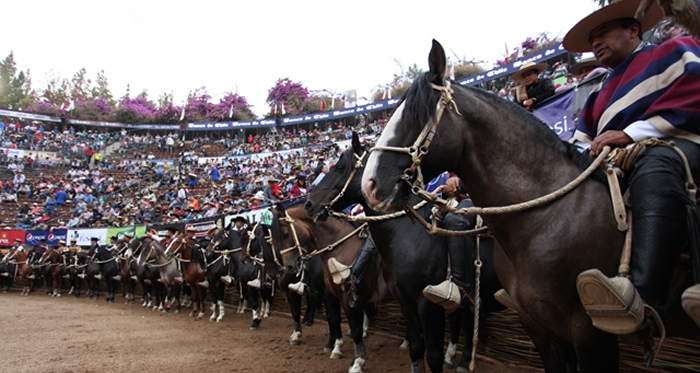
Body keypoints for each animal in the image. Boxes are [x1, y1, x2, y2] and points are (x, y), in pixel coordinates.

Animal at [268, 203, 388, 372]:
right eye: (272, 240)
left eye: (285, 234)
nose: (289, 268)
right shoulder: (328, 294)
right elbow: (332, 317)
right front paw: (335, 346)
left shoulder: (343, 296)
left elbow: (347, 324)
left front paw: (351, 357)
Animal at [308, 132, 506, 370]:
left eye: (338, 167)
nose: (309, 203)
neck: (408, 233)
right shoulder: (405, 301)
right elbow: (416, 349)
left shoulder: (428, 305)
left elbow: (432, 354)